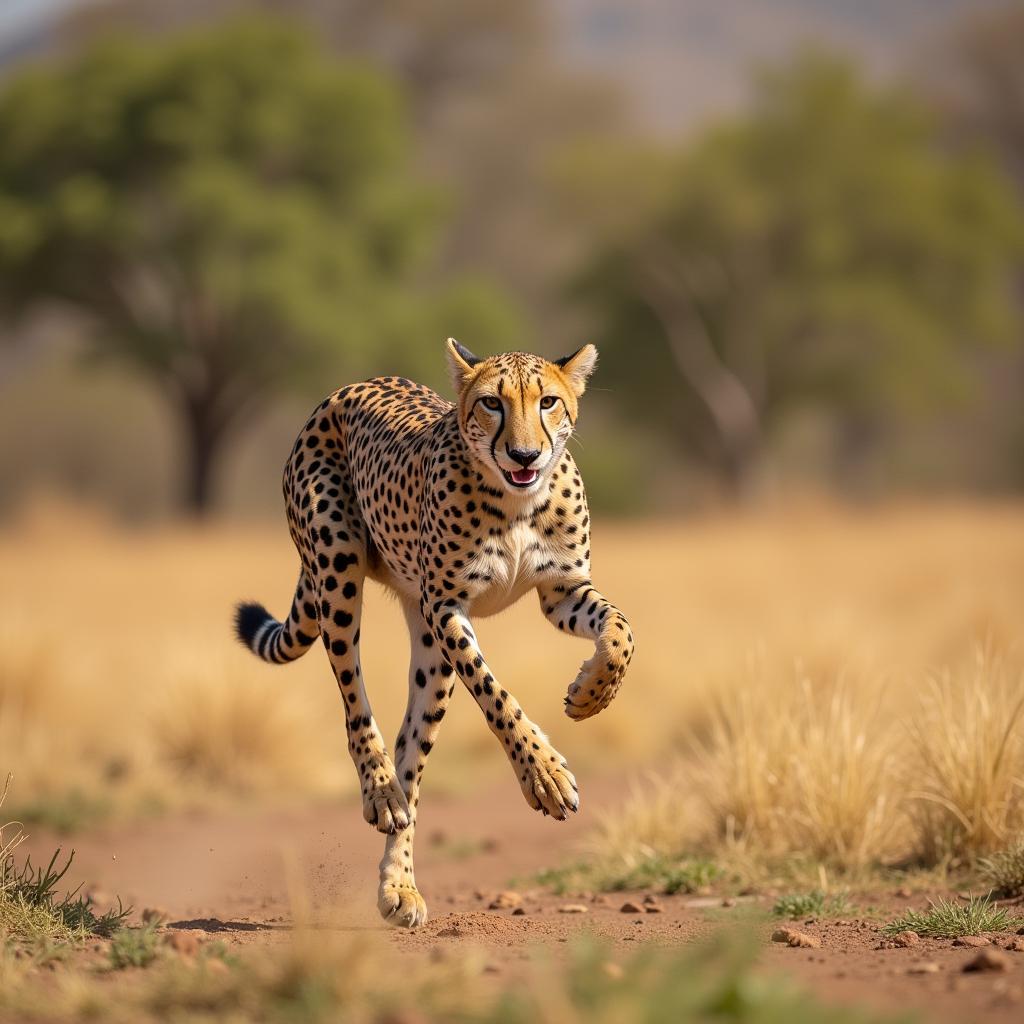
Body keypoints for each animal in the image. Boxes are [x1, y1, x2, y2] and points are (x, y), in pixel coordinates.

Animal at [234, 342, 630, 929]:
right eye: (491, 403)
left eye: (548, 402)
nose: (524, 455)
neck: (517, 503)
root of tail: (347, 388)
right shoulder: (446, 606)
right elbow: (496, 696)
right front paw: (545, 775)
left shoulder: (561, 592)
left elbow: (622, 633)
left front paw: (591, 694)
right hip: (338, 565)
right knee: (355, 701)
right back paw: (380, 790)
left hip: (428, 651)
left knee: (411, 758)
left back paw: (398, 883)